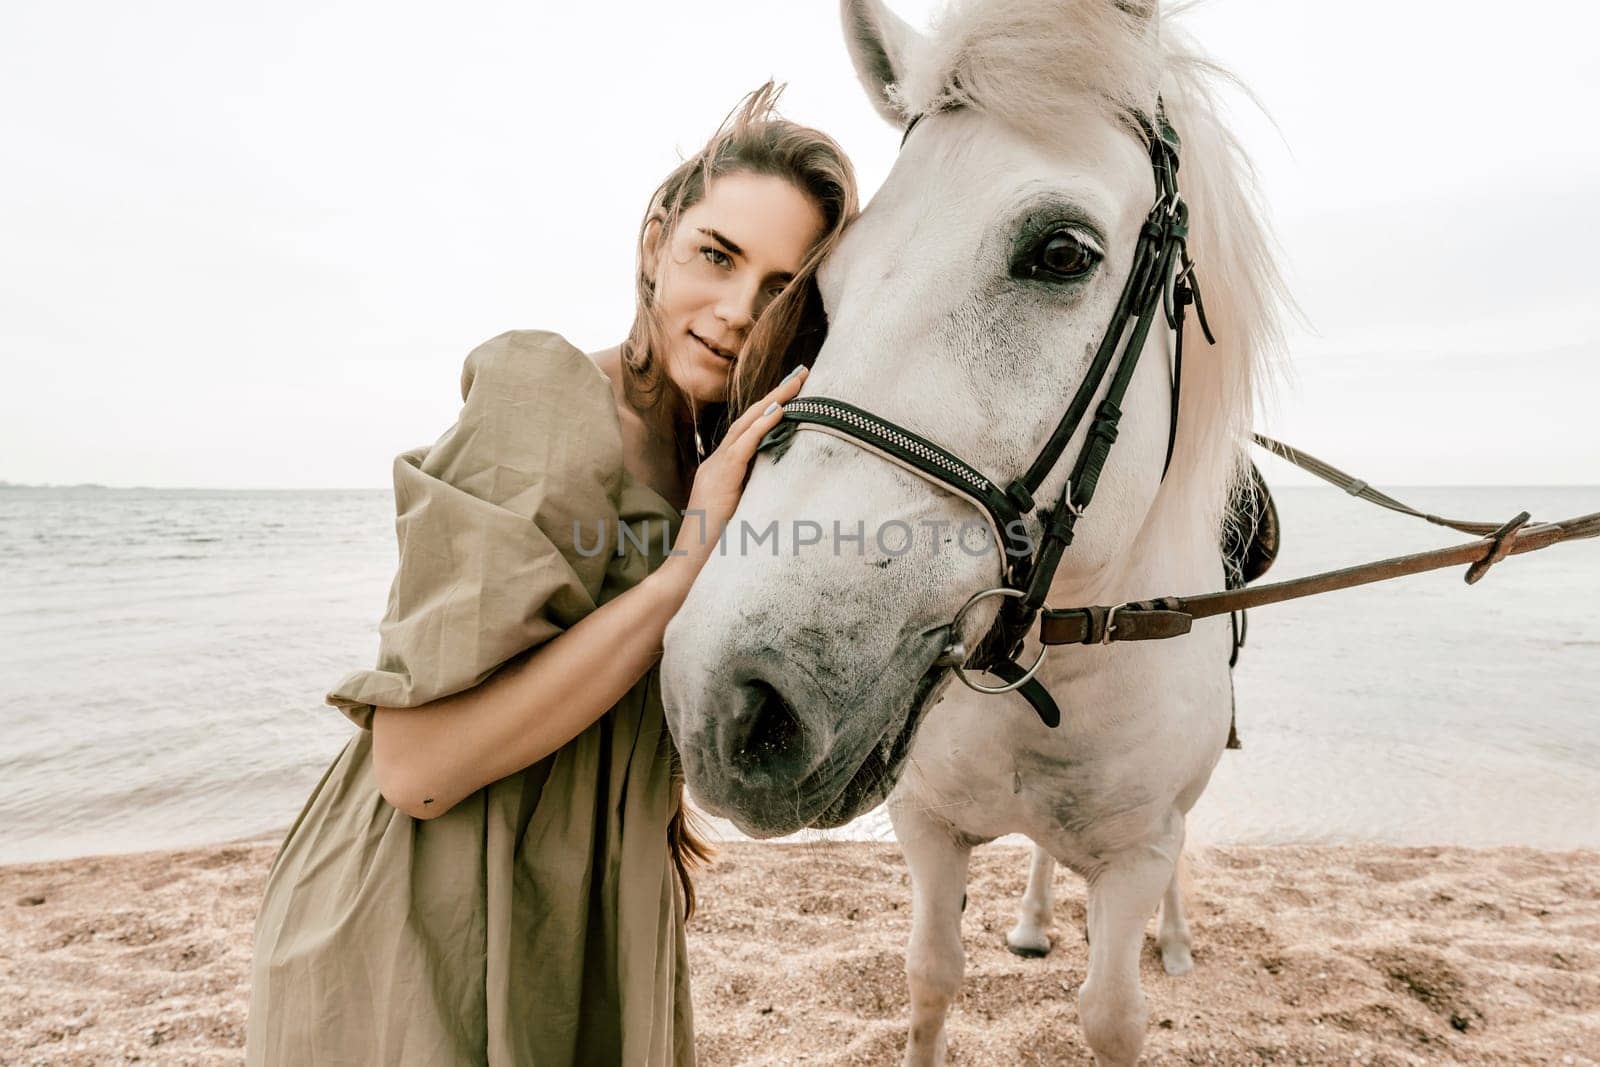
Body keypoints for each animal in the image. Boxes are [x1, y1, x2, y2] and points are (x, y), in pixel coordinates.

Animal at [662, 4, 1286, 1062]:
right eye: (832, 278)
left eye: (1063, 252)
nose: (730, 702)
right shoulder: (925, 826)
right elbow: (930, 977)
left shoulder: (1138, 852)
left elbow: (1111, 1013)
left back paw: (1175, 940)